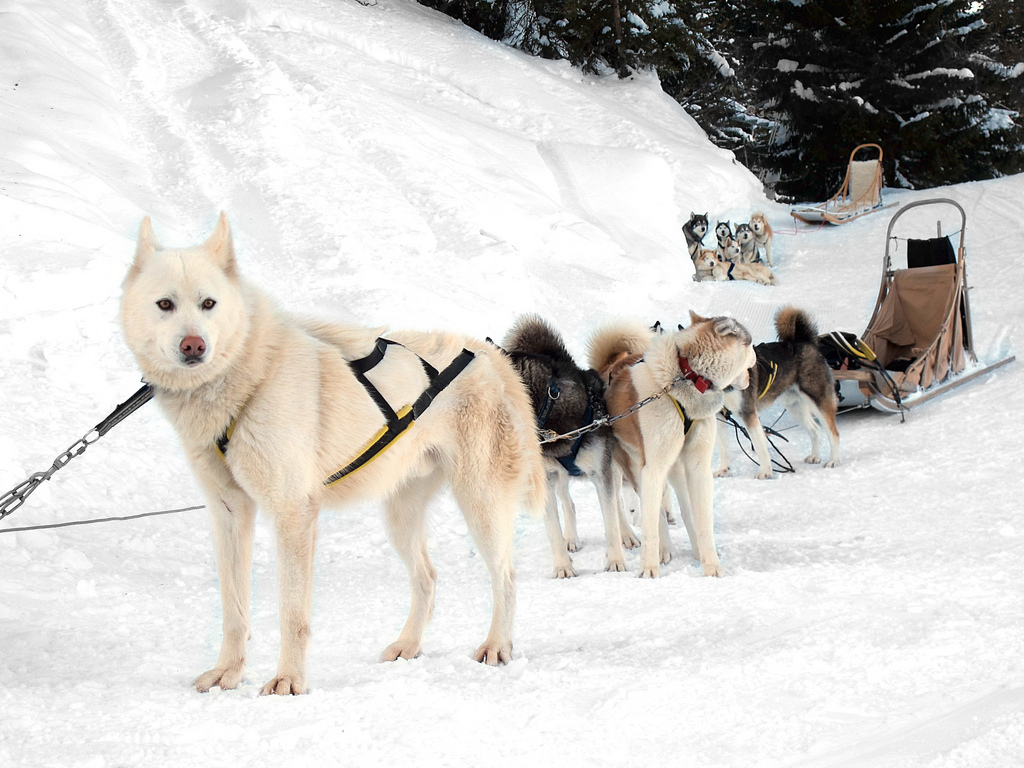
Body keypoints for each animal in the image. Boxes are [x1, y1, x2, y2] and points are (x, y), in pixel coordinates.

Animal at [120, 213, 546, 695]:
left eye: (208, 303)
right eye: (165, 304)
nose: (194, 345)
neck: (248, 379)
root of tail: (488, 354)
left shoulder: (292, 512)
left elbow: (292, 613)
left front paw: (289, 680)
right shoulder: (229, 512)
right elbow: (234, 610)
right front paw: (228, 672)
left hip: (481, 503)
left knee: (505, 576)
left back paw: (497, 646)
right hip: (400, 515)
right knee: (427, 577)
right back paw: (408, 644)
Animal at [502, 315, 639, 577]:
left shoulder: (601, 473)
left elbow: (610, 521)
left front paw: (616, 561)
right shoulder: (546, 478)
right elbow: (553, 529)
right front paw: (563, 567)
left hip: (612, 466)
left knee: (617, 504)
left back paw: (627, 535)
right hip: (559, 477)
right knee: (568, 503)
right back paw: (572, 539)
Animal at [588, 313, 755, 578]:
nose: (751, 372)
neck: (687, 378)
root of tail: (609, 367)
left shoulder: (698, 467)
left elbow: (702, 521)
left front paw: (712, 567)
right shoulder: (652, 468)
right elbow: (651, 524)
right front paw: (648, 569)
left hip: (673, 467)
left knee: (682, 508)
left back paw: (691, 548)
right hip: (626, 468)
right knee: (624, 507)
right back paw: (642, 543)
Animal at [716, 307, 840, 479]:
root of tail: (805, 342)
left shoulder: (749, 414)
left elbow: (760, 447)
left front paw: (765, 472)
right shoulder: (719, 416)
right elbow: (723, 448)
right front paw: (724, 470)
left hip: (819, 401)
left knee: (833, 433)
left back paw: (833, 460)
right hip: (795, 407)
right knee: (815, 429)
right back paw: (815, 456)